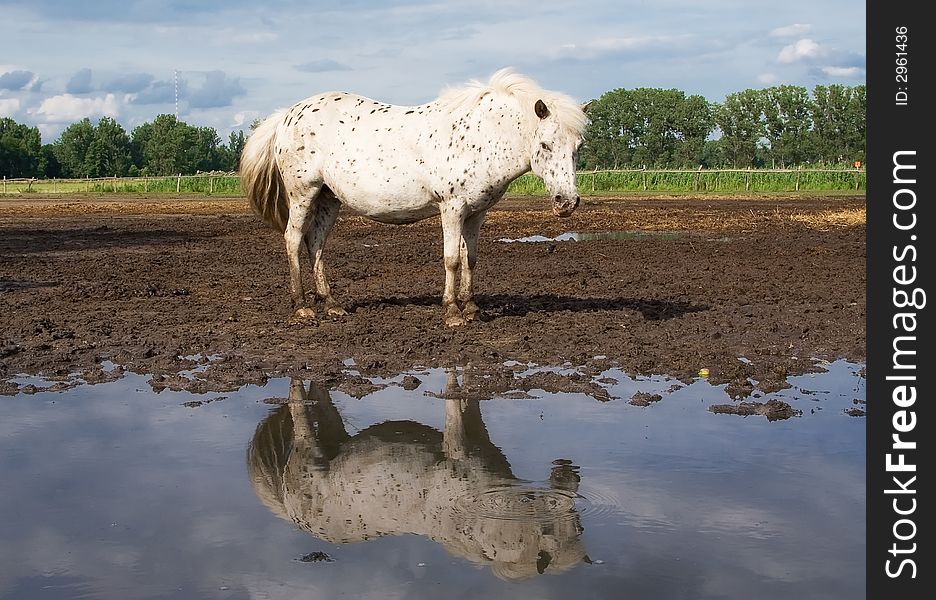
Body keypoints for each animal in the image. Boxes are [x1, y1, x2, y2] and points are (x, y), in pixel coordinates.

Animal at [243, 69, 584, 328]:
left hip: (329, 198)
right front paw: (452, 312)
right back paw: (302, 307)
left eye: (578, 146)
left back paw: (331, 304)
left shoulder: (476, 213)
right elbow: (451, 259)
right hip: (303, 193)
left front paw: (472, 308)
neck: (479, 136)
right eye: (545, 144)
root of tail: (286, 116)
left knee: (316, 243)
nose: (566, 202)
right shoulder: (452, 209)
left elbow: (470, 258)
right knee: (293, 239)